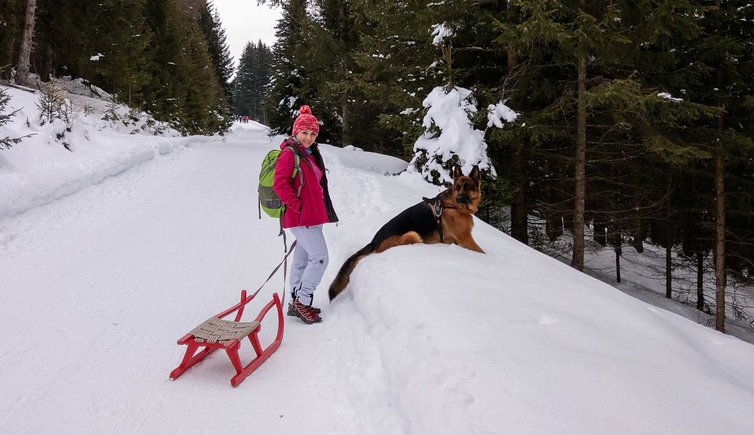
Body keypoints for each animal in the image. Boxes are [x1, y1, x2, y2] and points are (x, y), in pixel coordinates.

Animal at [328, 165, 482, 302]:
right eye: (457, 188)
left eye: (467, 187)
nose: (459, 199)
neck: (453, 206)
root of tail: (374, 241)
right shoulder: (466, 238)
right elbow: (481, 252)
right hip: (413, 234)